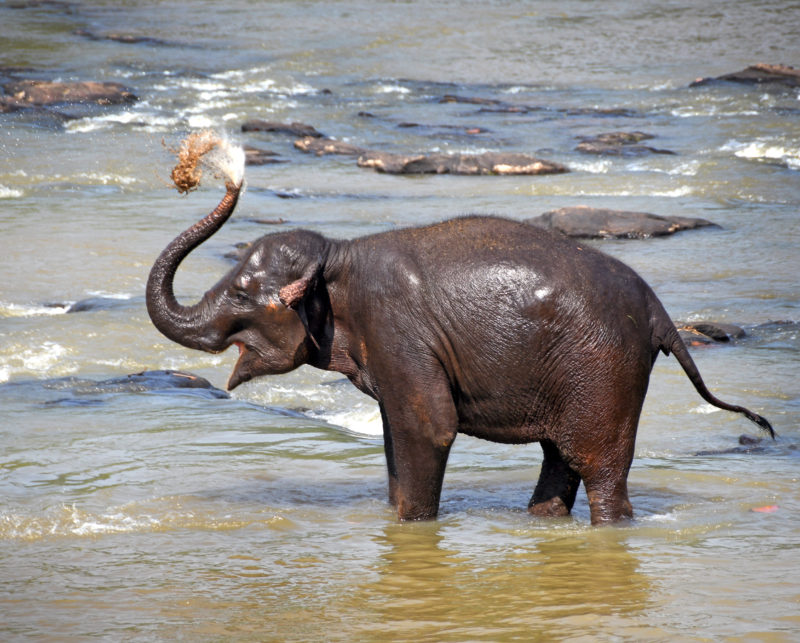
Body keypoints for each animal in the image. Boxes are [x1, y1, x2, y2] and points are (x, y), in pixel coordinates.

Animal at [147, 179, 772, 524]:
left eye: (240, 292)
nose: (228, 180)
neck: (338, 257)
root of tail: (661, 313)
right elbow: (398, 432)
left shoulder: (398, 329)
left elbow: (430, 427)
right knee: (560, 460)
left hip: (603, 366)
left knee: (598, 468)